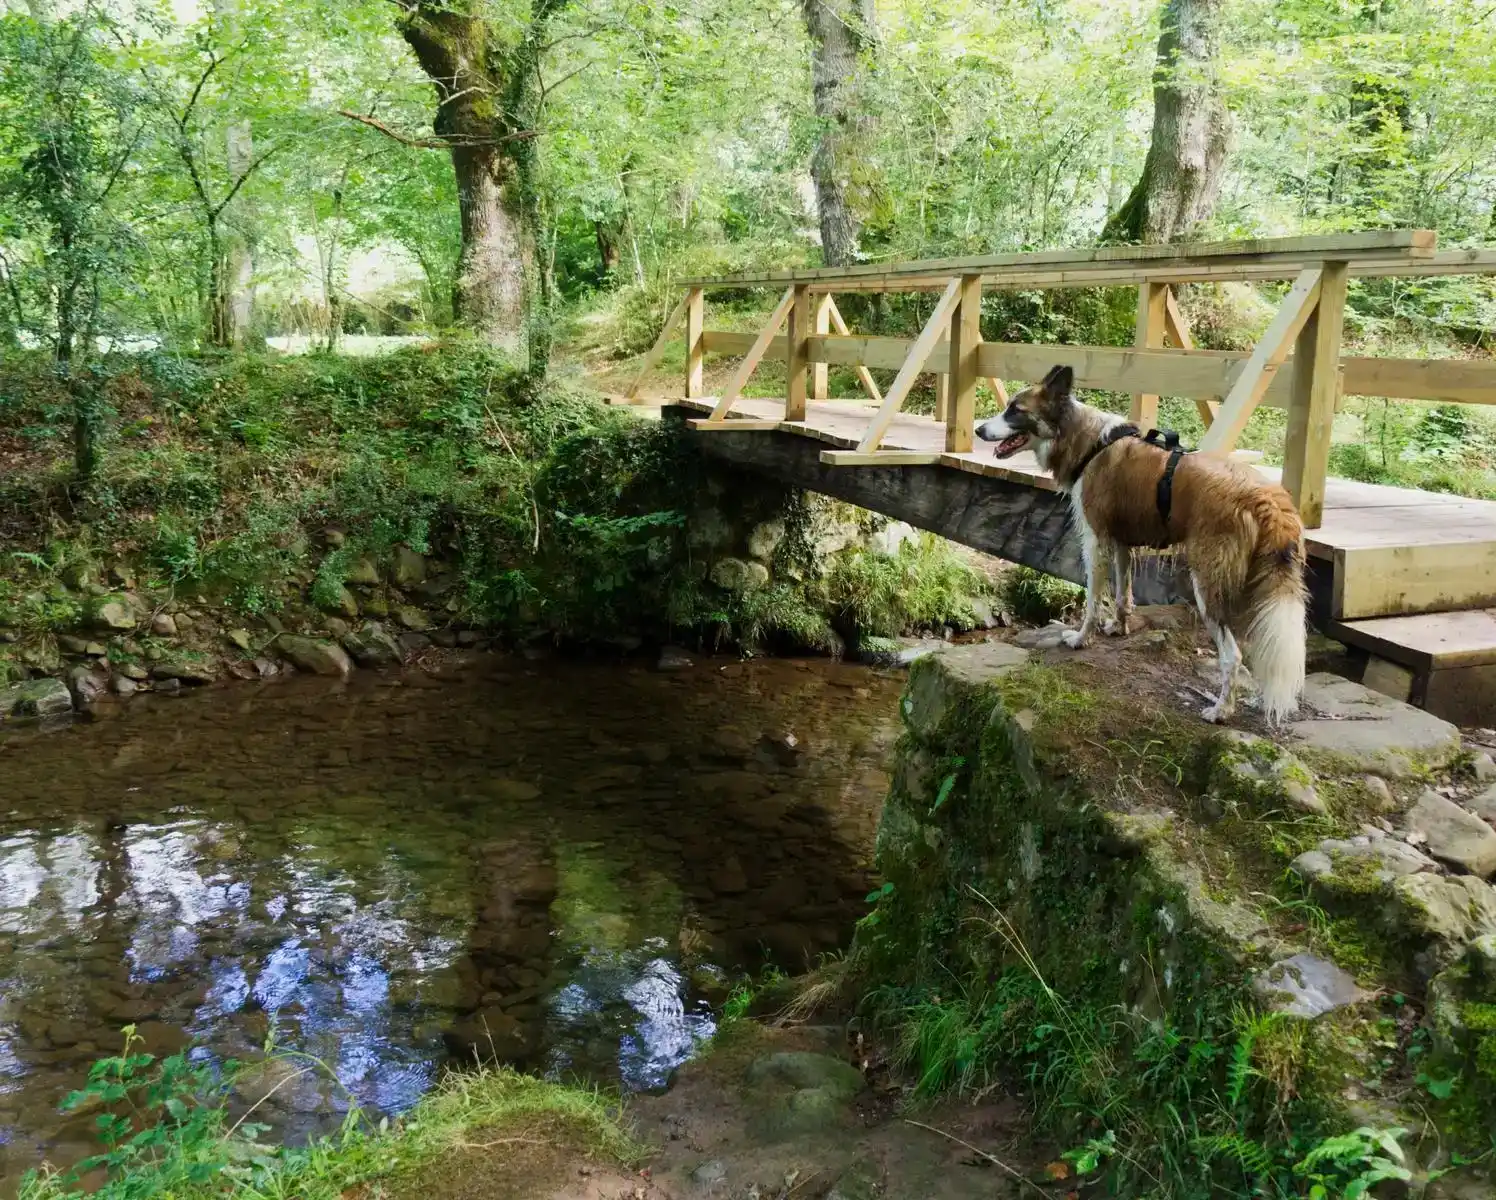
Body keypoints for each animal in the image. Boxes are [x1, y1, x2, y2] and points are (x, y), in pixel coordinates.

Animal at [975, 365, 1304, 721]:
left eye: (1015, 410)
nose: (978, 430)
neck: (1089, 443)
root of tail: (1265, 496)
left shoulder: (1095, 542)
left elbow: (1092, 602)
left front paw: (1081, 638)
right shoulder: (1121, 543)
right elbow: (1123, 595)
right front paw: (1119, 628)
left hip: (1208, 585)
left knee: (1233, 656)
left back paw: (1221, 710)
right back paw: (1258, 700)